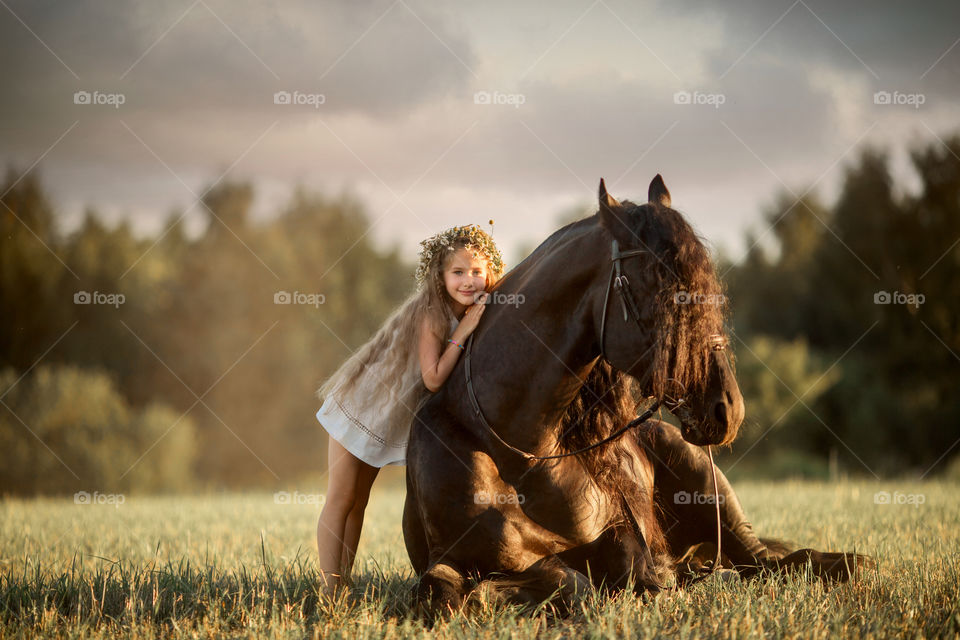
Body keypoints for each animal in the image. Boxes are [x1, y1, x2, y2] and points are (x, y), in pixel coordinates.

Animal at [403, 175, 868, 615]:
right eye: (667, 295)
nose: (729, 409)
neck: (521, 453)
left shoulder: (620, 534)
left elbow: (618, 573)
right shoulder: (456, 560)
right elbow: (457, 592)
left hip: (710, 488)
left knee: (769, 562)